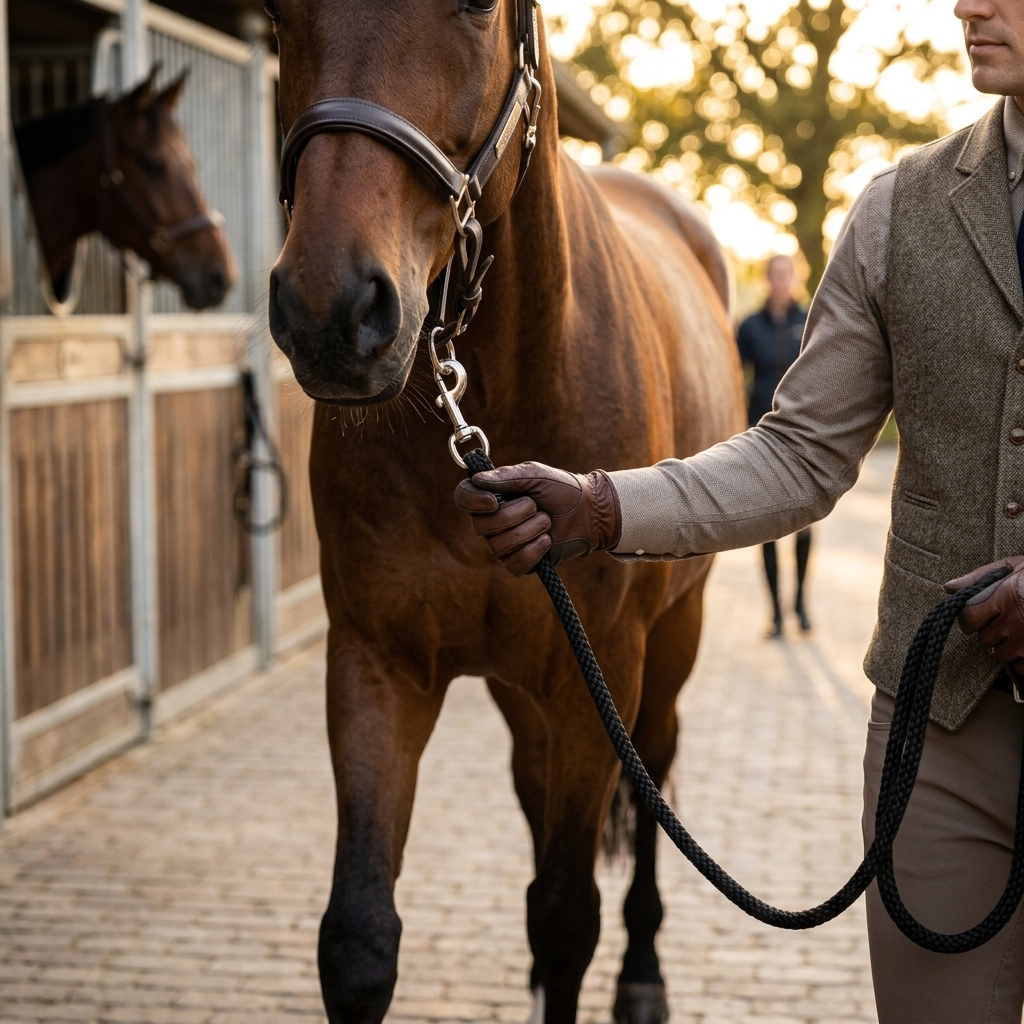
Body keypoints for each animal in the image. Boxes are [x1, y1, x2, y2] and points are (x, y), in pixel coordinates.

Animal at [267, 2, 745, 1021]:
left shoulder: (594, 677)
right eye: (282, 14)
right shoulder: (376, 664)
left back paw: (644, 977)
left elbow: (567, 917)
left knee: (652, 781)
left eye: (480, 8)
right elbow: (358, 939)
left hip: (665, 650)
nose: (331, 311)